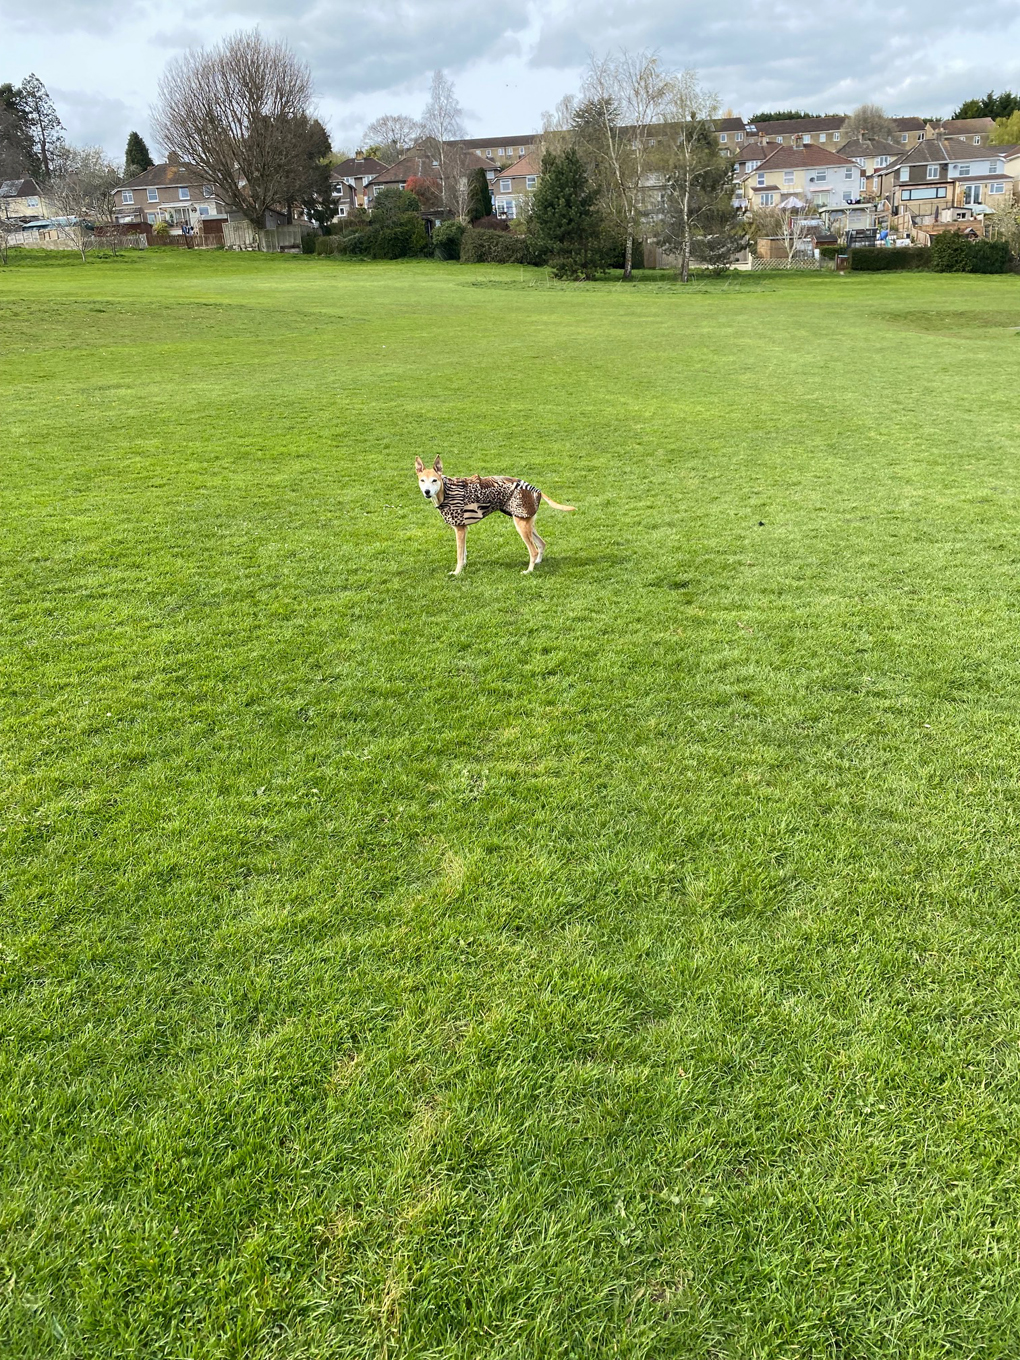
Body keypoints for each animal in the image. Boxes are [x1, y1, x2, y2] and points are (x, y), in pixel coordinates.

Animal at [416, 456, 576, 573]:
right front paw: (464, 565)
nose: (427, 492)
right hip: (527, 522)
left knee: (534, 550)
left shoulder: (460, 529)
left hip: (521, 525)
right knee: (542, 544)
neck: (446, 491)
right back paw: (537, 563)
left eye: (434, 480)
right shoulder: (463, 528)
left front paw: (457, 572)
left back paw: (529, 571)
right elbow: (464, 552)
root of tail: (537, 489)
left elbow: (459, 555)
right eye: (422, 480)